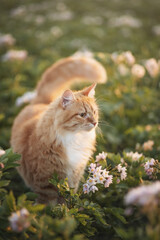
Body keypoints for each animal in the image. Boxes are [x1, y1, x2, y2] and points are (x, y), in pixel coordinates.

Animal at [10, 56, 106, 204]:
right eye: (82, 115)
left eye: (94, 112)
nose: (94, 122)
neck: (75, 137)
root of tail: (41, 101)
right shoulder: (46, 182)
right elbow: (48, 204)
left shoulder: (74, 176)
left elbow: (67, 199)